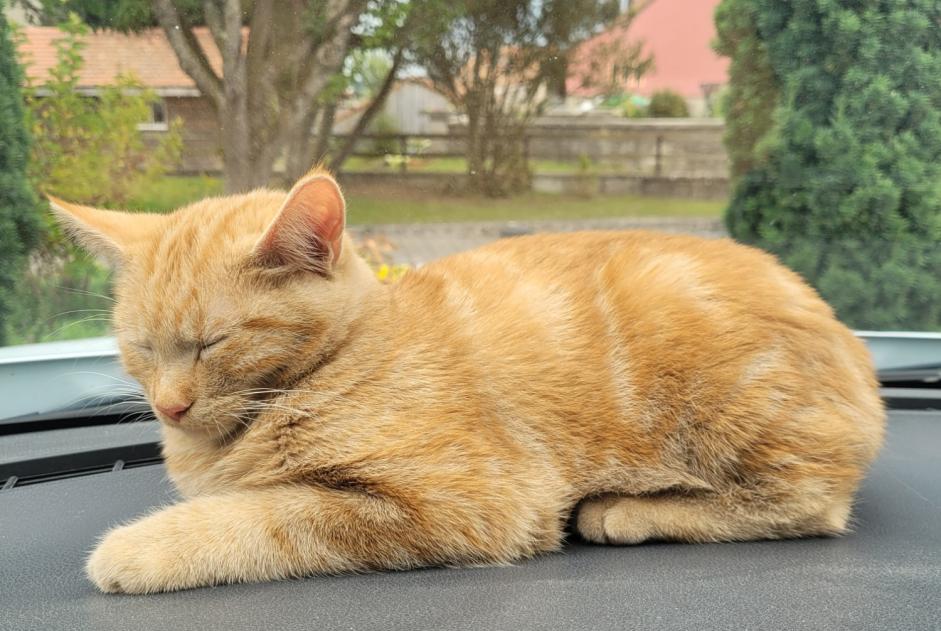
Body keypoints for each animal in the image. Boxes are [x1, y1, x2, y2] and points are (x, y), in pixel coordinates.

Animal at [49, 169, 888, 592]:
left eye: (212, 342)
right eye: (138, 347)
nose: (169, 404)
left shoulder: (462, 503)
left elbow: (259, 517)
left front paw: (136, 548)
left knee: (807, 503)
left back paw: (623, 508)